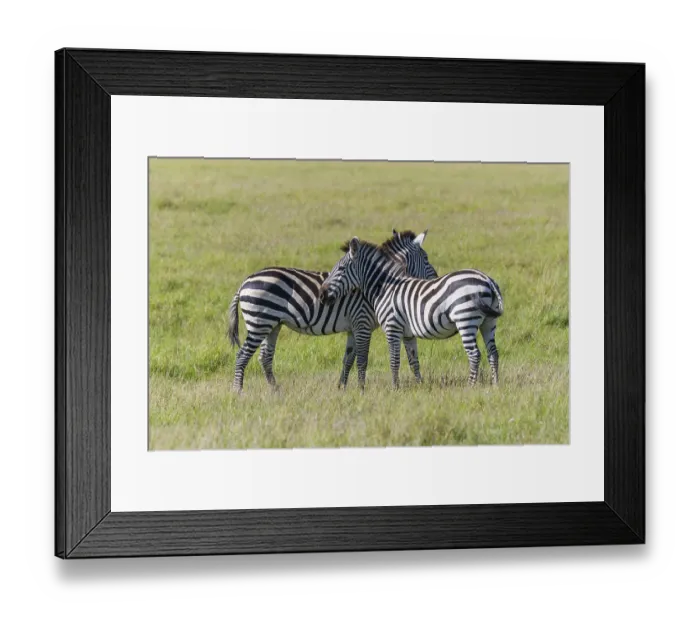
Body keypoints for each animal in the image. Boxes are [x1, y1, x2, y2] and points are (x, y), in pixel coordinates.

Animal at [228, 230, 438, 393]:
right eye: (426, 258)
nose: (436, 278)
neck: (376, 283)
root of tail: (245, 282)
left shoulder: (354, 328)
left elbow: (348, 359)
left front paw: (342, 388)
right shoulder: (362, 323)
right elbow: (362, 359)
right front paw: (361, 390)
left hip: (272, 325)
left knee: (265, 357)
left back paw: (275, 390)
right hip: (259, 322)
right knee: (242, 355)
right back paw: (238, 391)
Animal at [318, 236, 504, 390]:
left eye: (341, 269)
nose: (321, 294)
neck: (385, 288)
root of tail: (487, 279)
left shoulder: (392, 328)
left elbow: (394, 361)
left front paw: (395, 388)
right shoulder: (408, 334)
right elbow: (413, 361)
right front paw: (419, 386)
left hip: (466, 319)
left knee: (474, 354)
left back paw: (470, 386)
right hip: (488, 322)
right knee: (493, 353)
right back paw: (495, 385)